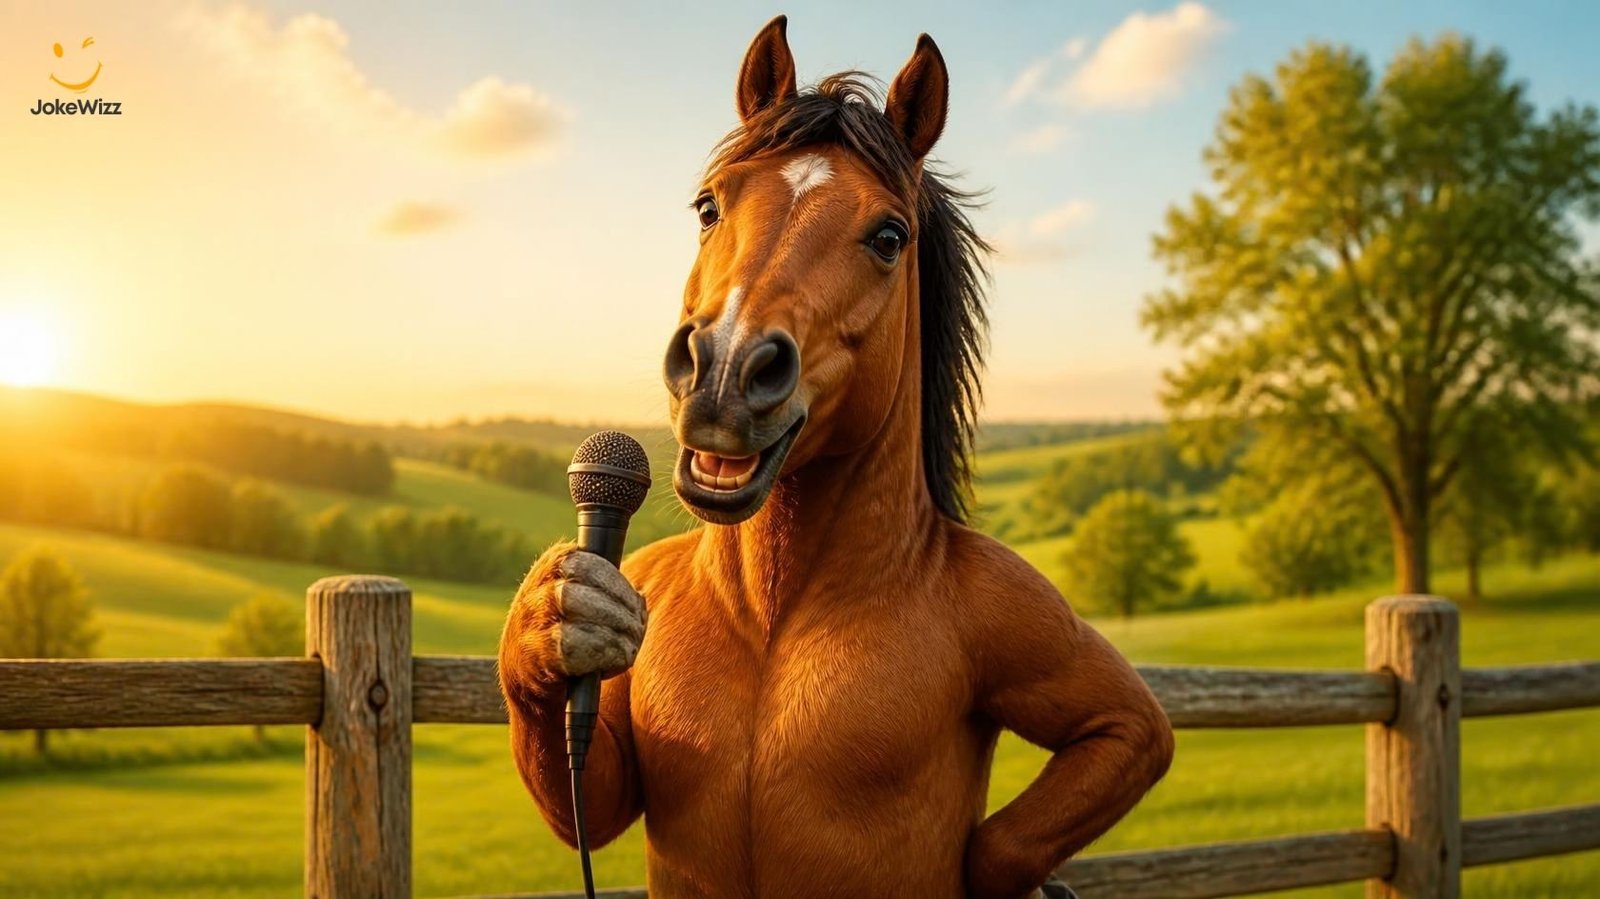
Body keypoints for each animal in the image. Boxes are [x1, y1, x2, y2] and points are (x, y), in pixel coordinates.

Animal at [499, 17, 1174, 898]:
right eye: (709, 205)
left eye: (889, 237)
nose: (726, 368)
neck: (776, 610)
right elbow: (598, 797)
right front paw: (557, 614)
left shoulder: (1072, 665)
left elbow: (1017, 830)